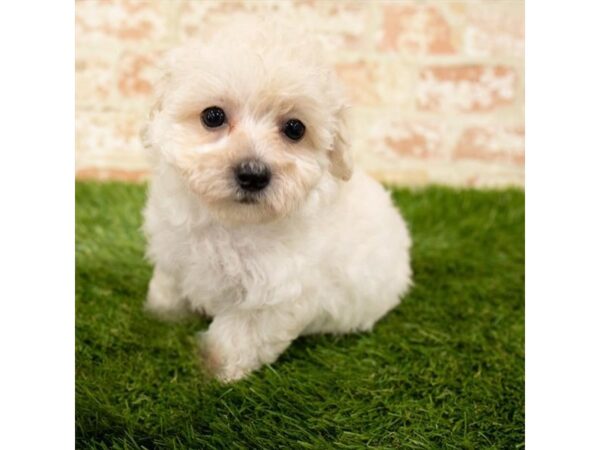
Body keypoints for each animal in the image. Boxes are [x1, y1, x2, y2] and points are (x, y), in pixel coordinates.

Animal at [141, 19, 412, 382]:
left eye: (295, 128)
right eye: (212, 116)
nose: (253, 174)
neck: (230, 222)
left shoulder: (274, 298)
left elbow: (236, 338)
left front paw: (212, 371)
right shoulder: (173, 250)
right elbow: (168, 286)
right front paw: (161, 315)